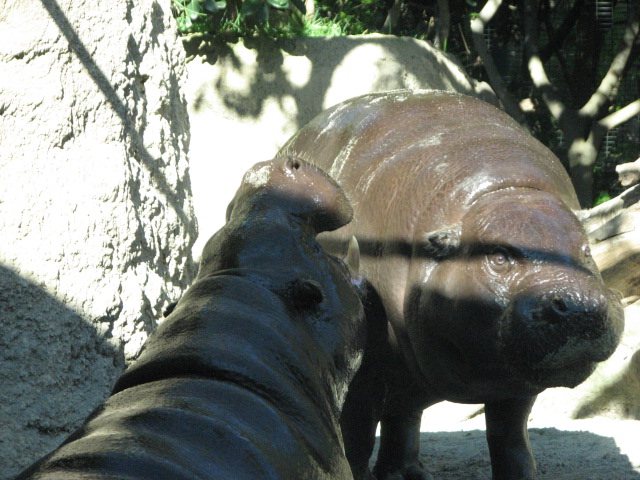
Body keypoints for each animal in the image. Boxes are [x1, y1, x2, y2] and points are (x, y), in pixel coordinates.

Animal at [278, 90, 625, 480]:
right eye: (498, 256)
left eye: (586, 250)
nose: (579, 302)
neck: (506, 194)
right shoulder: (363, 373)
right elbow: (356, 436)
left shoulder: (517, 382)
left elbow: (511, 437)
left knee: (404, 415)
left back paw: (407, 474)